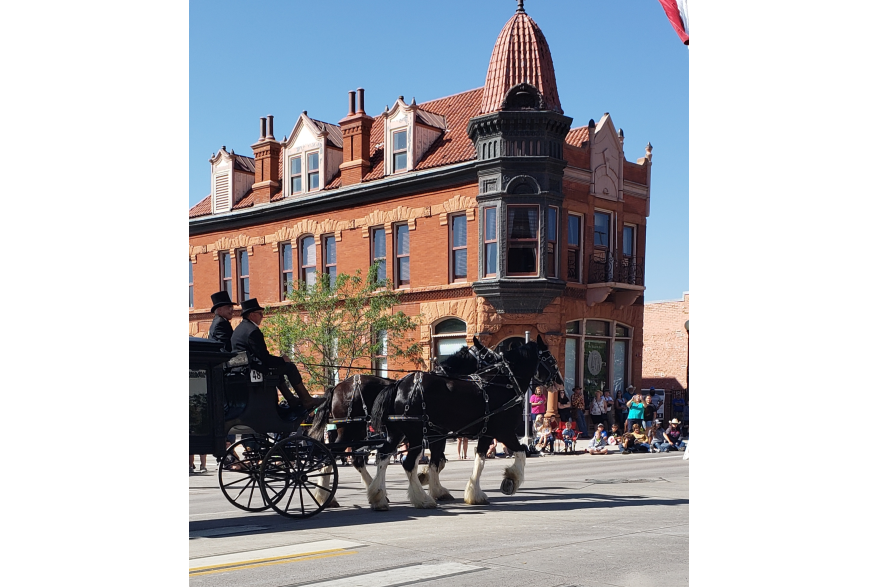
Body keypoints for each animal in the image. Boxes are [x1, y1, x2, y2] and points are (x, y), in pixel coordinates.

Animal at [368, 338, 560, 512]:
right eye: (551, 359)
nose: (559, 381)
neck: (505, 382)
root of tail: (398, 385)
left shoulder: (485, 433)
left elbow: (475, 460)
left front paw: (473, 494)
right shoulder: (504, 431)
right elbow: (521, 452)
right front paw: (511, 481)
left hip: (397, 433)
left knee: (383, 456)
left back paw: (378, 497)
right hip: (415, 435)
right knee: (407, 463)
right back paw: (422, 499)